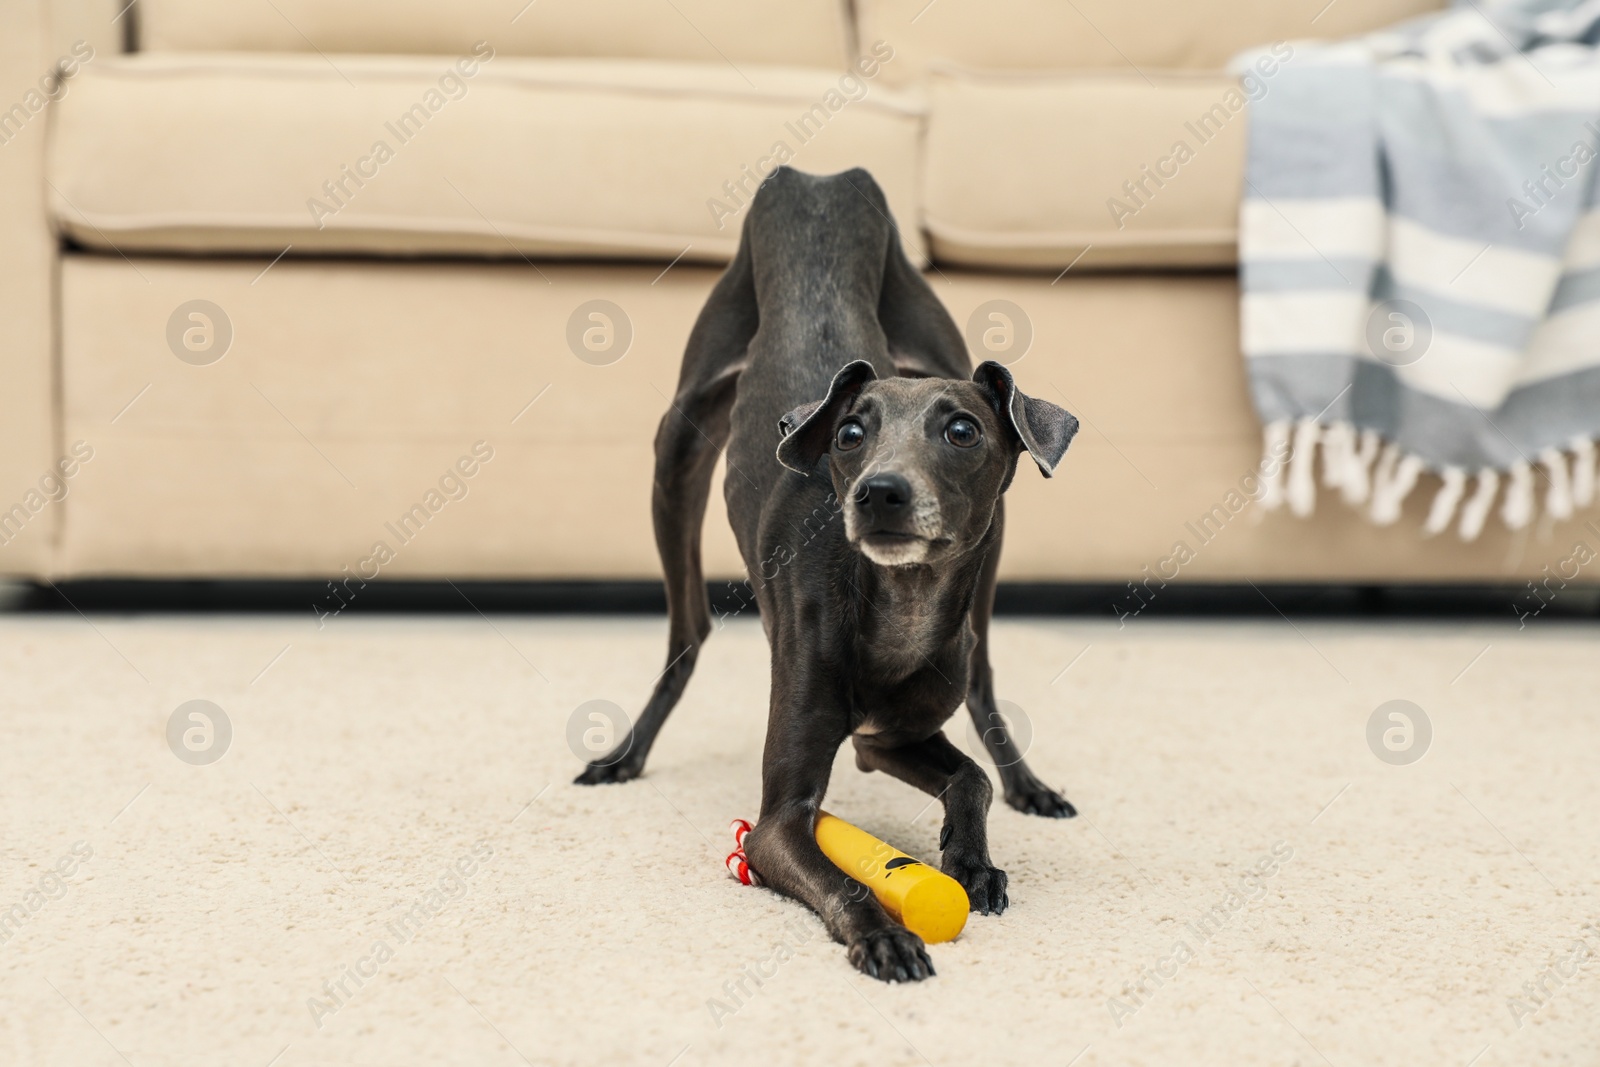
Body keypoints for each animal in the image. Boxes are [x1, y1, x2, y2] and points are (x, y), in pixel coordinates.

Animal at [582, 164, 1081, 985]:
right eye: (850, 432)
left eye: (963, 429)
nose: (879, 492)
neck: (896, 602)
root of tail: (819, 180)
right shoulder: (778, 822)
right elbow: (835, 873)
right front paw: (884, 934)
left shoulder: (887, 740)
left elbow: (971, 777)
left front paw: (974, 861)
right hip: (676, 445)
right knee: (687, 631)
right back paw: (622, 756)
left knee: (983, 673)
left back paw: (1029, 784)